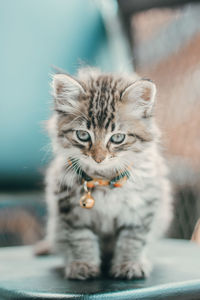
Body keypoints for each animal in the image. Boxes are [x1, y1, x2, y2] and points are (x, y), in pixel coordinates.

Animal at [45, 67, 172, 278]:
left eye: (117, 138)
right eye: (83, 135)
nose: (98, 158)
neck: (103, 180)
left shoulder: (142, 208)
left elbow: (132, 240)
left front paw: (129, 264)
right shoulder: (71, 211)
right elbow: (81, 240)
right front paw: (83, 265)